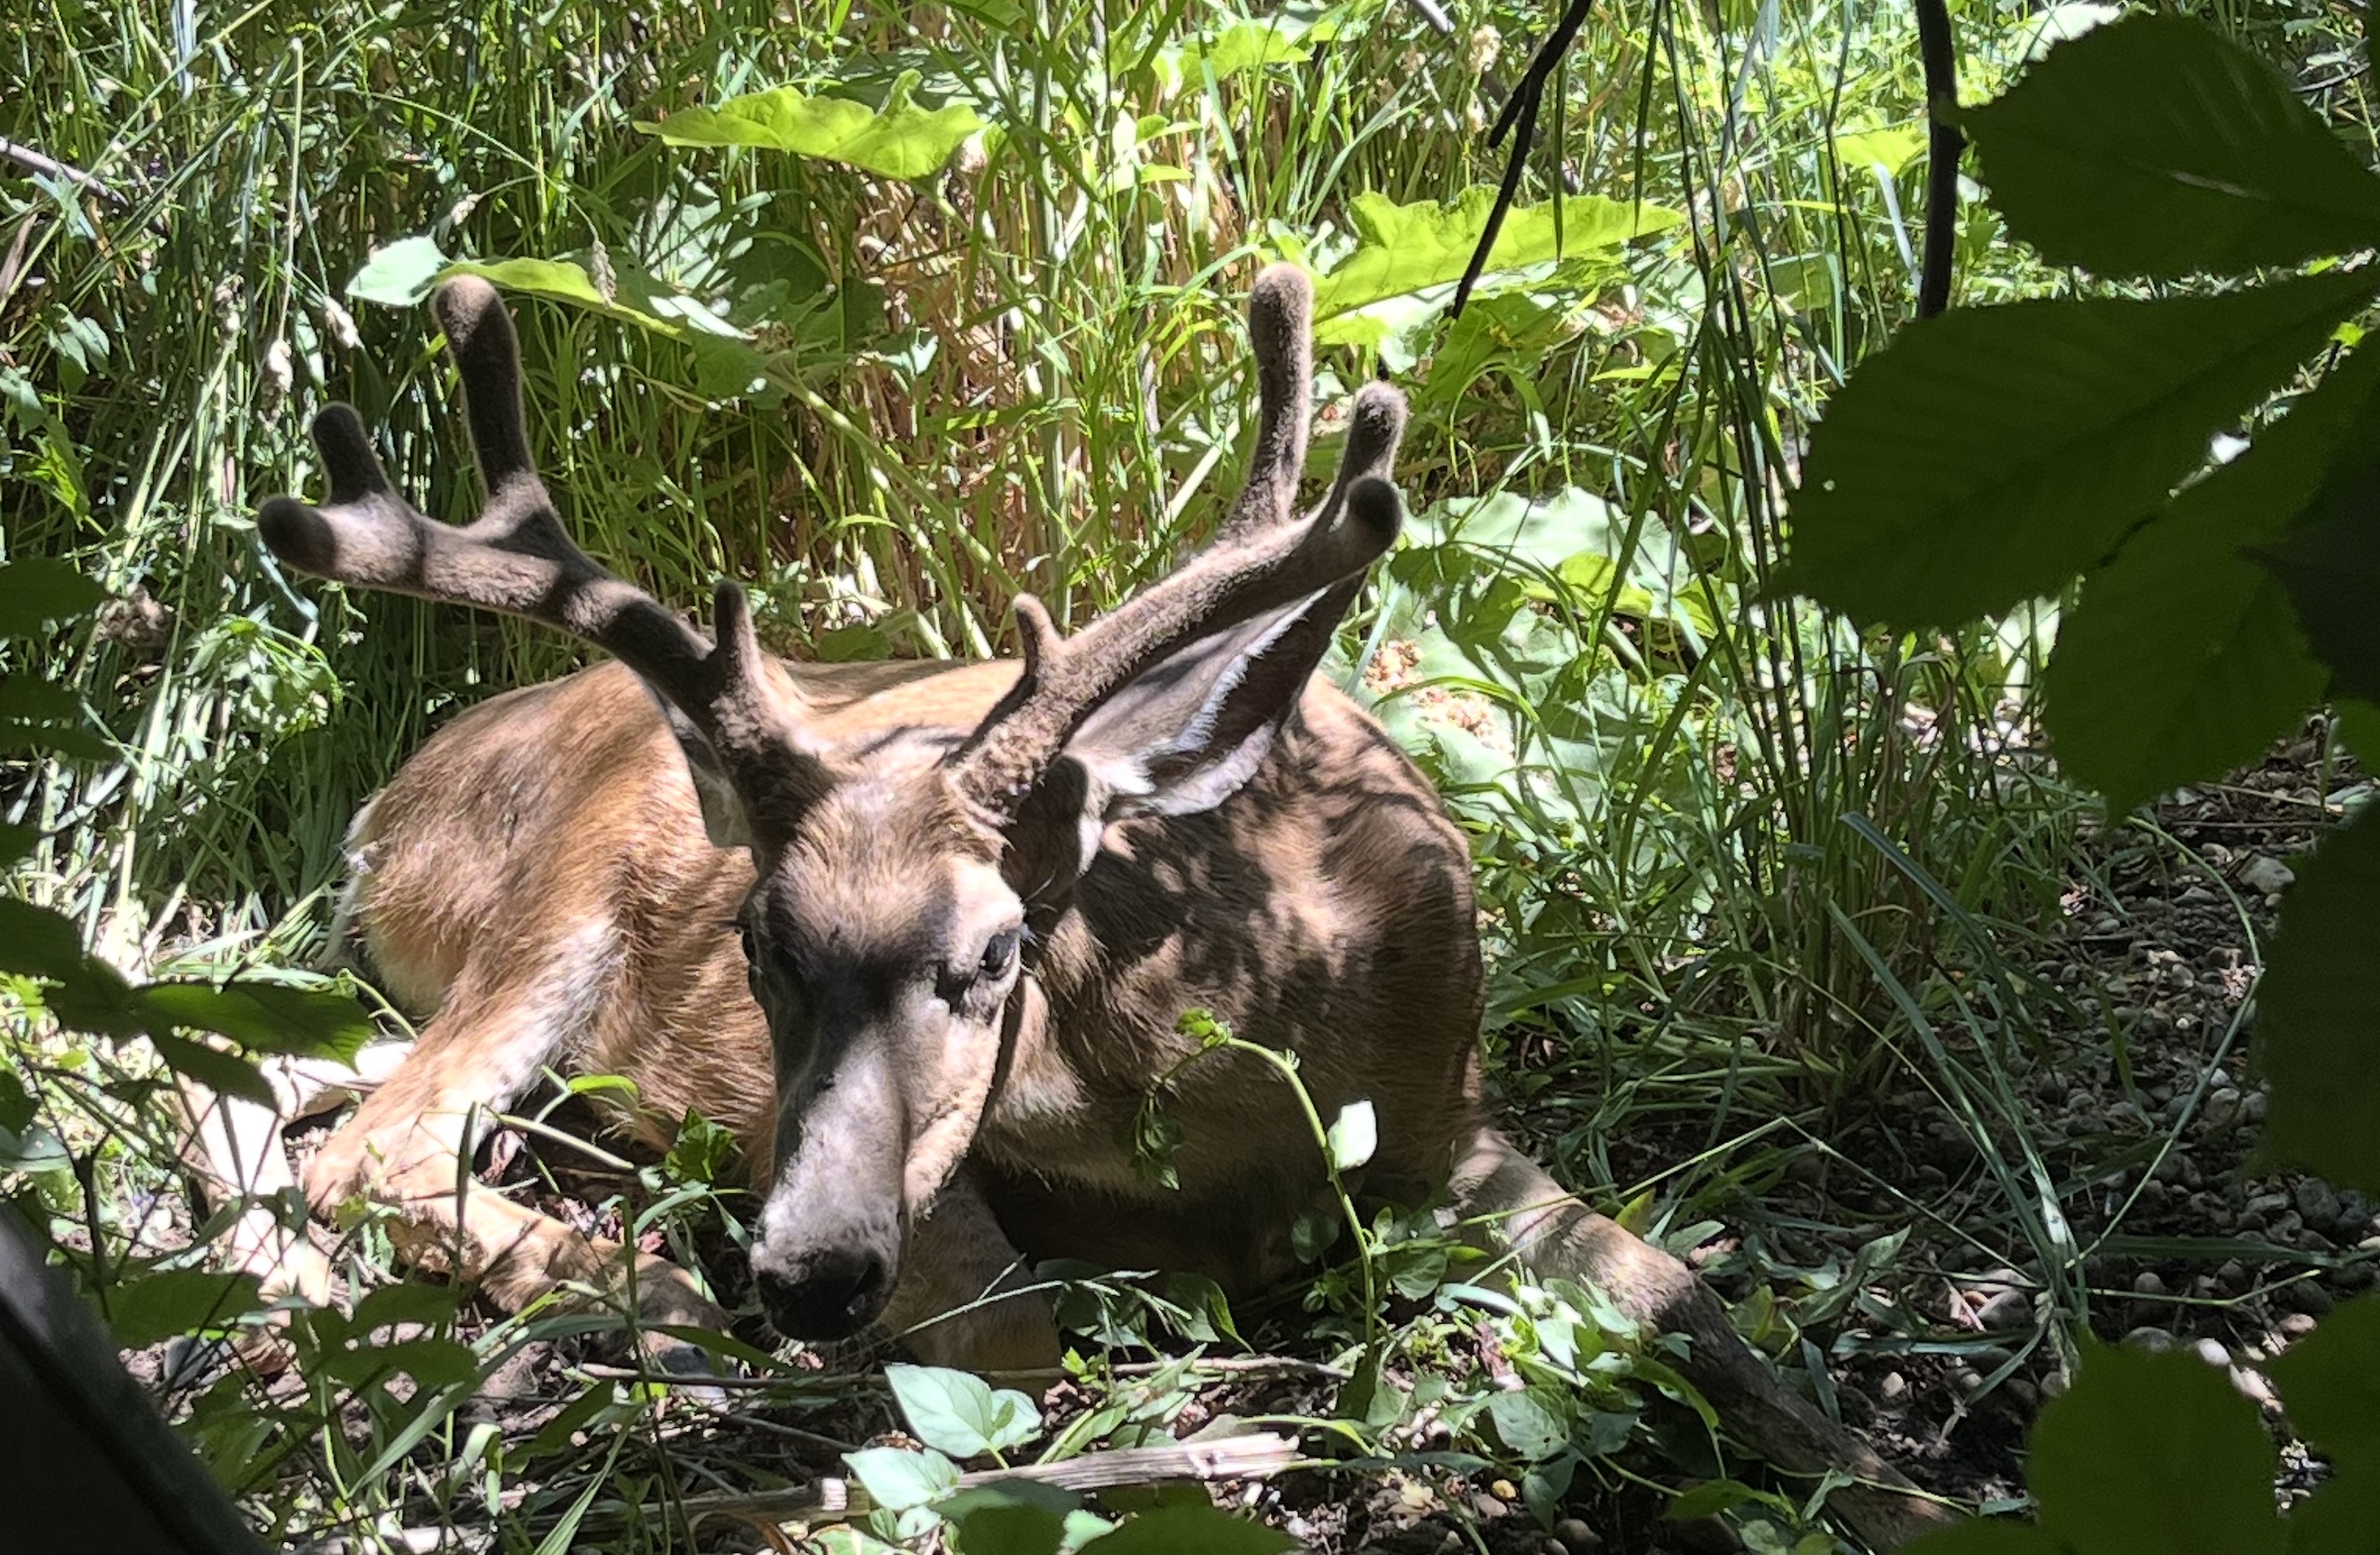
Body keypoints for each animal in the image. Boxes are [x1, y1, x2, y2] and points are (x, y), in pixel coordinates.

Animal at [242, 267, 1950, 1549]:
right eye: (755, 945)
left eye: (998, 947)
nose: (805, 1274)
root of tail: (401, 795)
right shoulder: (857, 1141)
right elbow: (1014, 1341)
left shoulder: (1455, 1116)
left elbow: (1687, 1299)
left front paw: (1912, 1495)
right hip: (557, 908)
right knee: (377, 1142)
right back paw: (657, 1293)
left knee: (304, 1080)